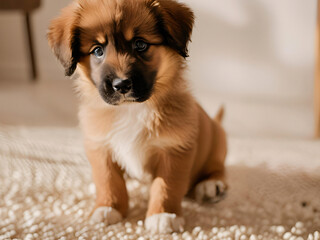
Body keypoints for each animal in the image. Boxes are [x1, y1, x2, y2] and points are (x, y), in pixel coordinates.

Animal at [47, 0, 228, 233]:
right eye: (98, 50)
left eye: (140, 45)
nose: (121, 85)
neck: (131, 110)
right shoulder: (100, 146)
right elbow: (108, 180)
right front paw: (108, 207)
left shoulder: (175, 149)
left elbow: (166, 185)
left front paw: (163, 214)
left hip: (218, 140)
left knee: (217, 166)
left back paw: (211, 185)